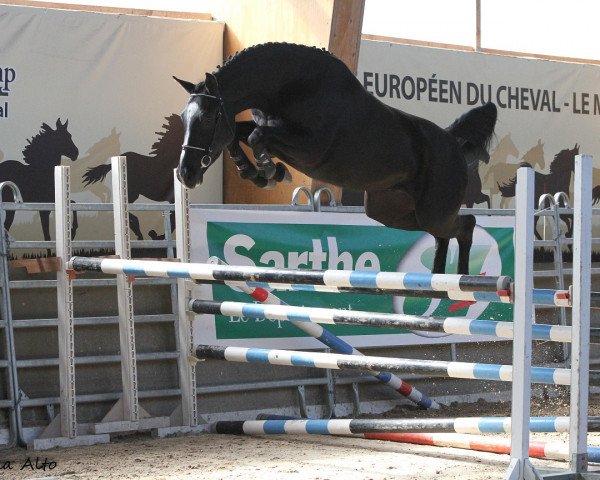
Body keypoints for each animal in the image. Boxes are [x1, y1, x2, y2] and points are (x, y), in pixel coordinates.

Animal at [175, 43, 496, 276]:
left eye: (207, 118)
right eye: (183, 118)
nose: (185, 174)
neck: (291, 87)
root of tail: (452, 142)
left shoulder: (310, 149)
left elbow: (256, 137)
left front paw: (270, 171)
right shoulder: (263, 129)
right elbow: (239, 135)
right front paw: (257, 173)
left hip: (432, 211)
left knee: (465, 225)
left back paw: (464, 281)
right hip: (392, 212)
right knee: (443, 234)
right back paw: (440, 280)